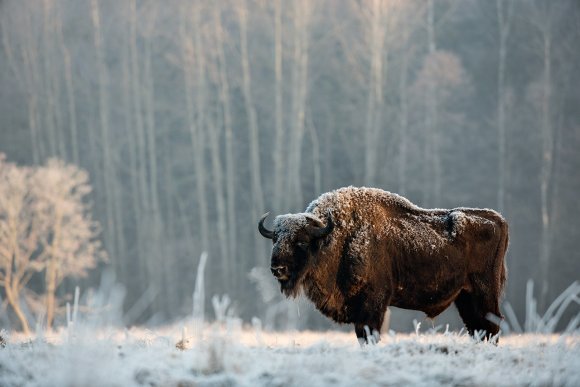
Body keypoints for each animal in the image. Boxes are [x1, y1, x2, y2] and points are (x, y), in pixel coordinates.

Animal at [258, 188, 508, 346]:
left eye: (300, 241)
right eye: (275, 239)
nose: (277, 268)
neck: (335, 237)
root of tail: (498, 220)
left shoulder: (373, 305)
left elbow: (370, 336)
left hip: (484, 294)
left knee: (491, 327)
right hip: (465, 297)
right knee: (479, 328)